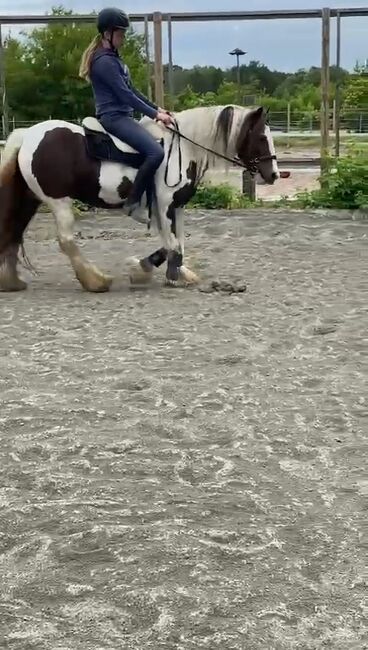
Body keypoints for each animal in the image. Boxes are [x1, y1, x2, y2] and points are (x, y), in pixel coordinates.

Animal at [0, 105, 278, 292]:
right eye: (262, 137)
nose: (274, 174)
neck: (182, 148)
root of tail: (28, 135)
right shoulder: (165, 205)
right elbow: (172, 244)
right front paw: (158, 273)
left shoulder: (175, 207)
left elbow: (176, 243)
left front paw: (168, 271)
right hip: (59, 201)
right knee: (66, 241)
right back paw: (95, 281)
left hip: (30, 199)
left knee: (13, 233)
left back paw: (11, 281)